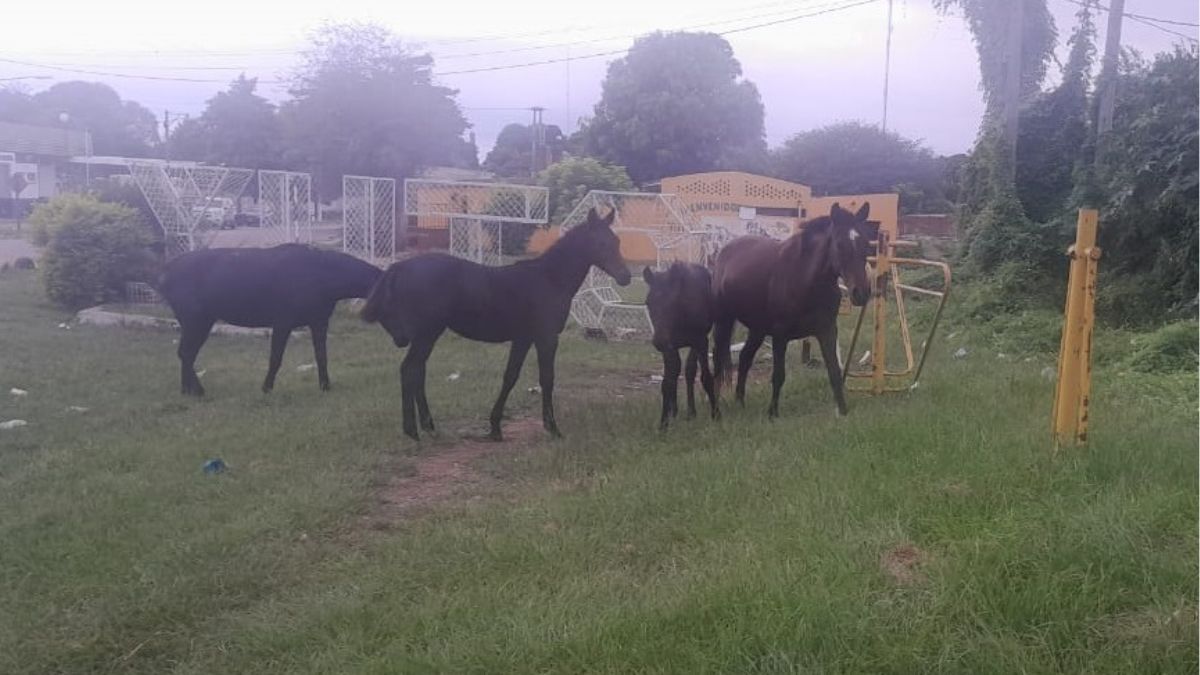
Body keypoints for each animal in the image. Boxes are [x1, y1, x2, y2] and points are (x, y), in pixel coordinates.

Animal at [158, 244, 382, 396]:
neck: (321, 275)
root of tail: (166, 271)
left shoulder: (319, 323)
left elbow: (321, 357)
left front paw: (325, 386)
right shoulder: (283, 323)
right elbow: (275, 358)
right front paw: (266, 388)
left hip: (200, 322)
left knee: (186, 354)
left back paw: (187, 390)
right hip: (196, 321)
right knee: (186, 353)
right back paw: (197, 391)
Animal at [361, 207, 631, 441]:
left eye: (617, 241)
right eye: (600, 243)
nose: (625, 277)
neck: (549, 278)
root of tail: (399, 266)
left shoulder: (524, 338)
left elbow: (510, 376)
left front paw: (495, 427)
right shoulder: (546, 337)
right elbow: (547, 379)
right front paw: (552, 428)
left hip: (427, 334)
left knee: (417, 371)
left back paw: (428, 426)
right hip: (427, 333)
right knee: (410, 370)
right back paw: (412, 431)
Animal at [643, 263, 719, 430]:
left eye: (673, 302)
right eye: (648, 303)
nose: (658, 341)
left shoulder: (701, 340)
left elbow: (705, 376)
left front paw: (716, 414)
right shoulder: (669, 346)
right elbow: (667, 382)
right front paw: (664, 423)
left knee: (690, 370)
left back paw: (691, 412)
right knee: (678, 371)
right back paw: (676, 411)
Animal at [712, 202, 876, 418]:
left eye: (866, 243)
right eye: (840, 244)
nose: (861, 293)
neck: (805, 279)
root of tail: (724, 252)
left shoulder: (827, 331)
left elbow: (834, 371)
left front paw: (843, 411)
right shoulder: (780, 336)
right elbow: (778, 375)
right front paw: (773, 413)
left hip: (757, 329)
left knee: (745, 357)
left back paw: (740, 402)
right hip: (724, 322)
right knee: (718, 361)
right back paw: (716, 408)